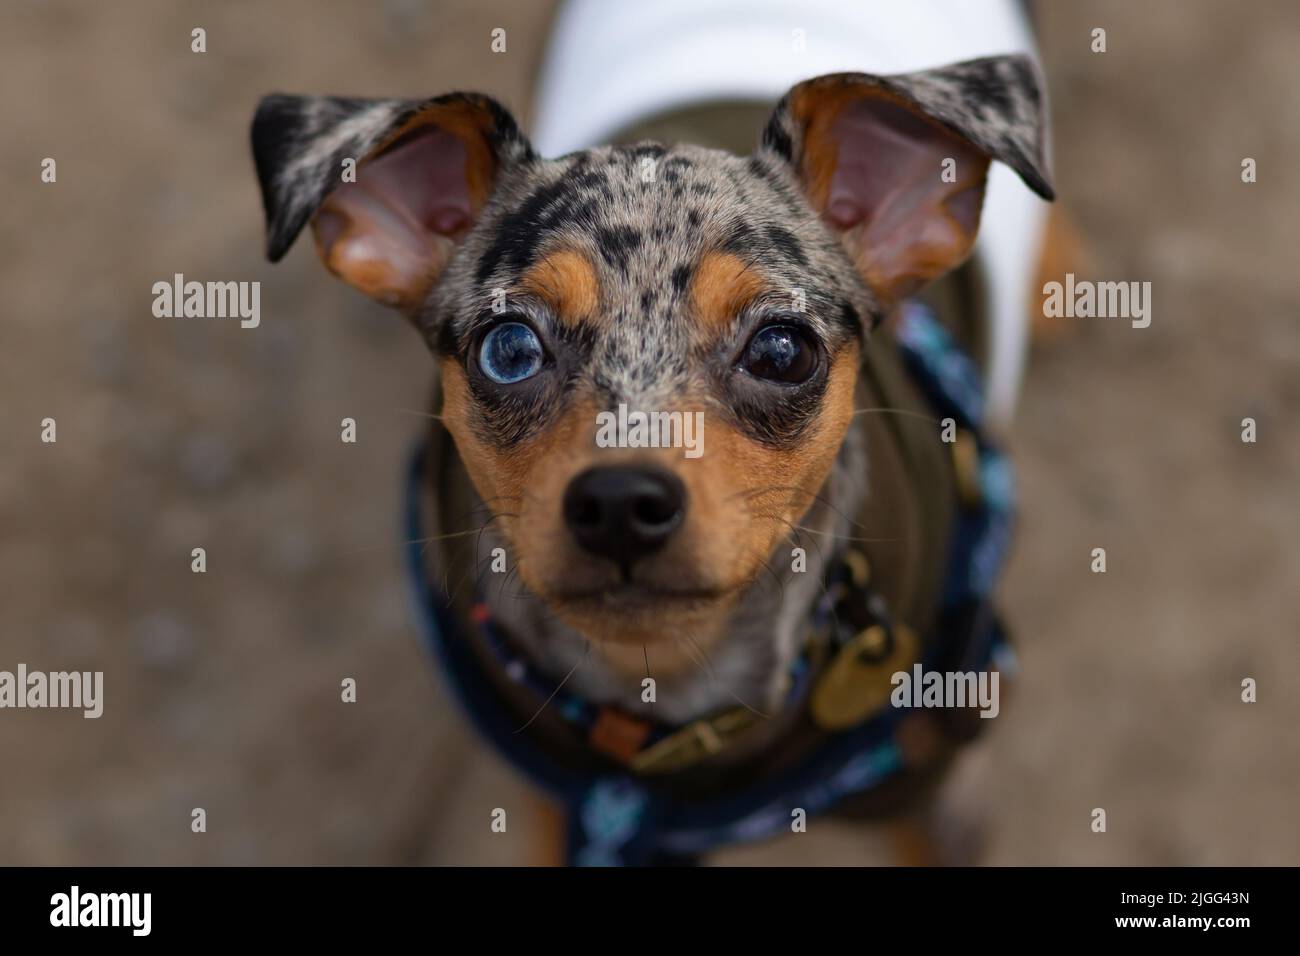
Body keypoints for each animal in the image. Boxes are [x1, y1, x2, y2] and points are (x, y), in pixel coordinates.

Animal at [250, 55, 1055, 868]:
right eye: (508, 347)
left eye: (783, 349)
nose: (620, 503)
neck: (661, 693)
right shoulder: (561, 813)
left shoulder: (922, 796)